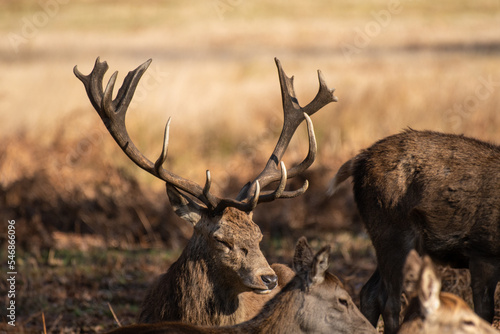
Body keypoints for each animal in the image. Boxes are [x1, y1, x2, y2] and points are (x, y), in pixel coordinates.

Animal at [328, 129, 500, 332]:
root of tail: (359, 161)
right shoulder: (483, 253)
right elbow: (483, 312)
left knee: (369, 292)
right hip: (393, 235)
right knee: (388, 301)